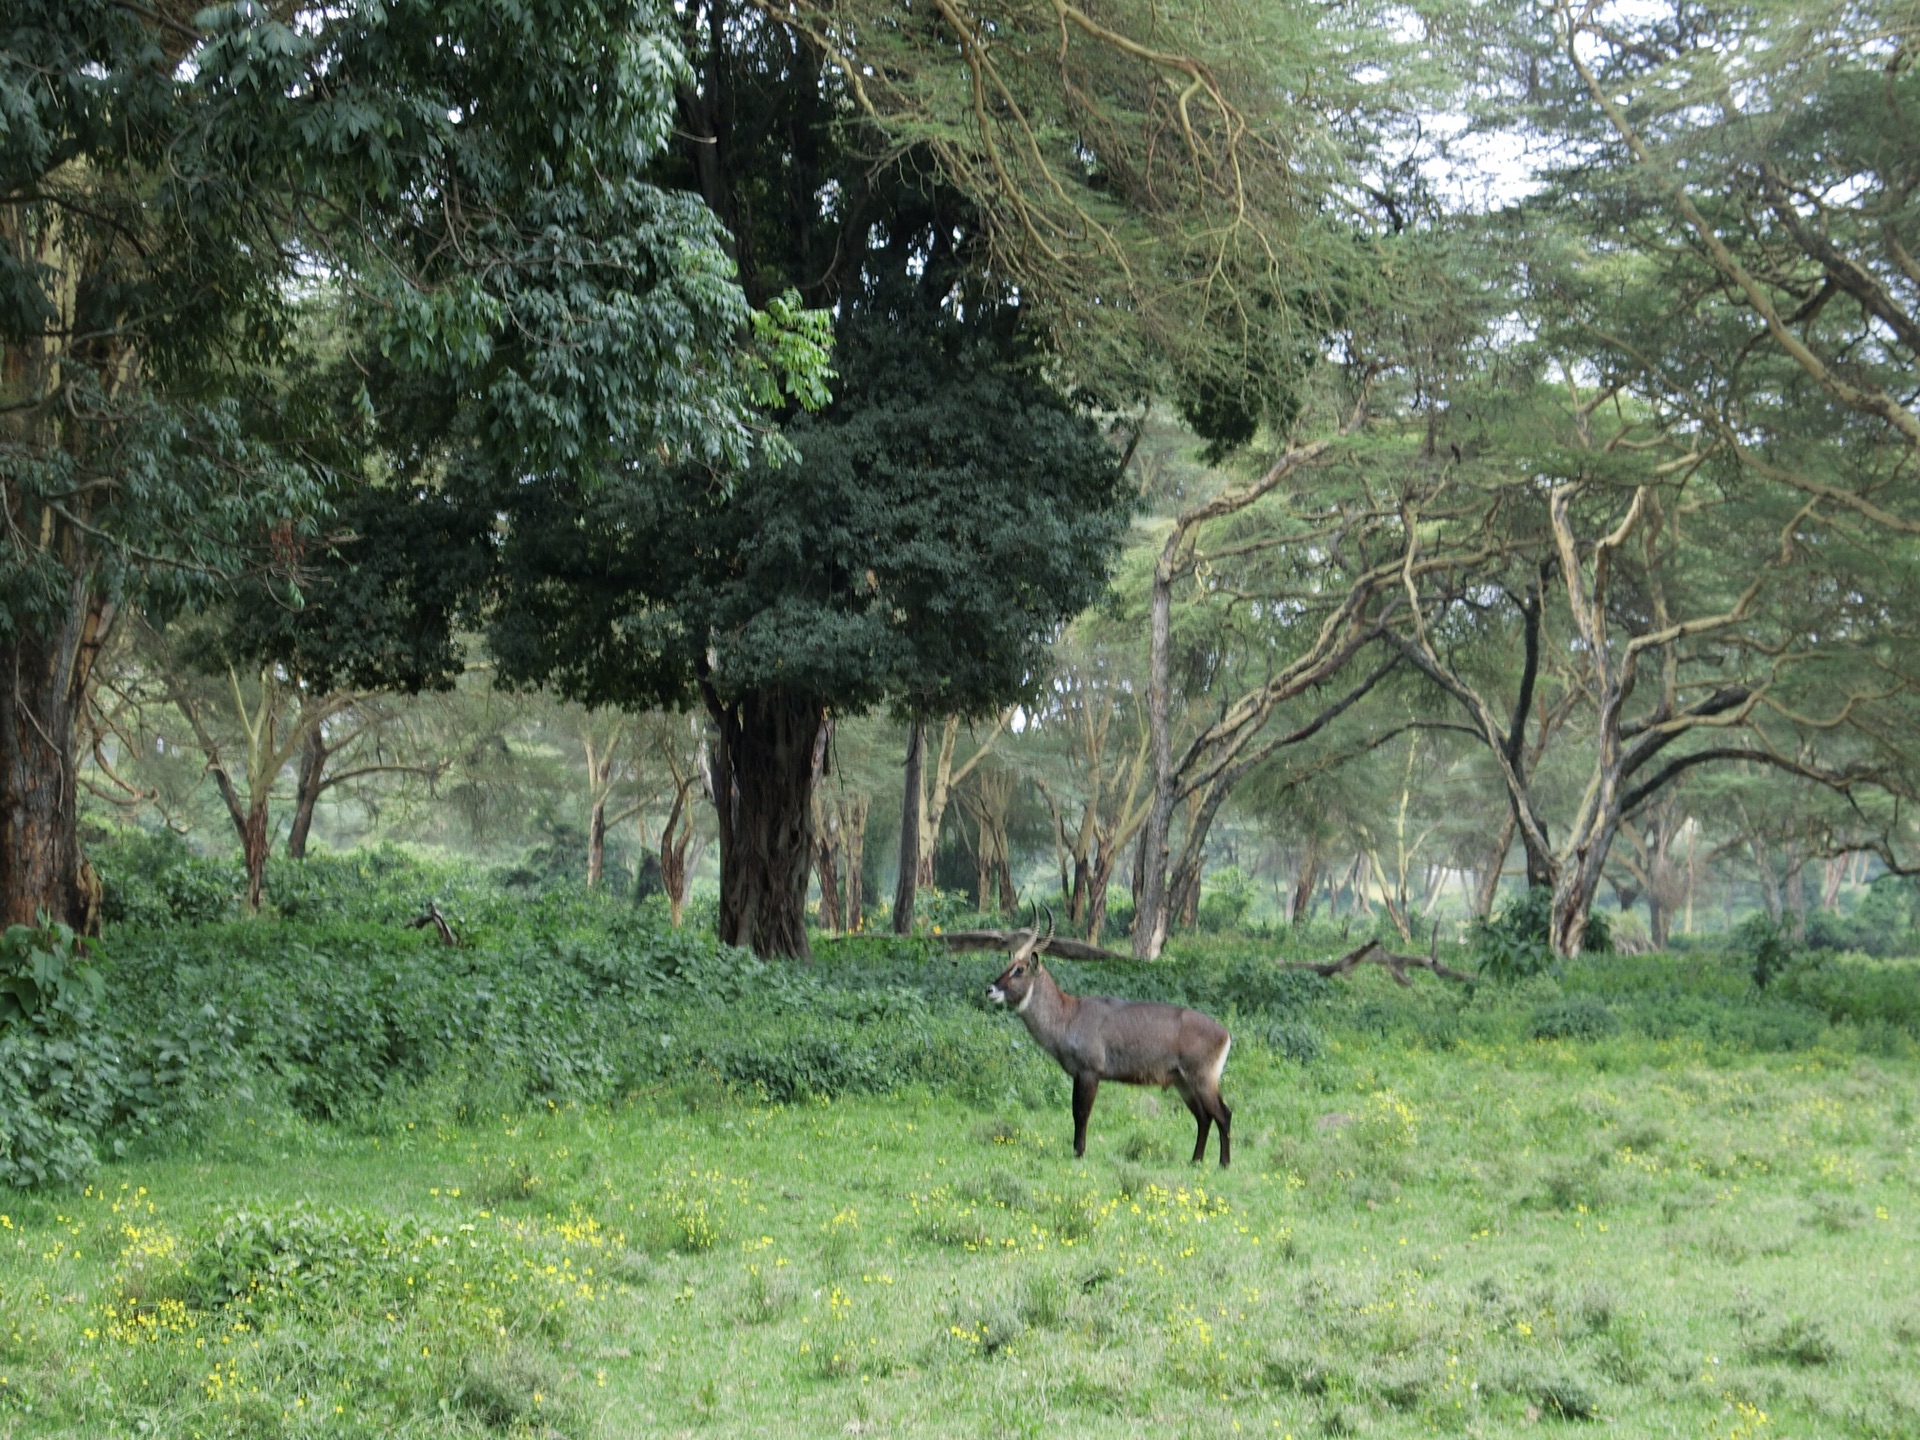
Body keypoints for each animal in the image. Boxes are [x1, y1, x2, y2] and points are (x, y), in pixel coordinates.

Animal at [983, 917, 1236, 1167]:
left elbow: (1082, 1113)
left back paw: (1223, 1163)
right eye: (1007, 966)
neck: (1068, 1015)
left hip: (1202, 1079)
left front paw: (1079, 1153)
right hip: (1183, 1082)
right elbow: (1075, 1111)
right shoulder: (1078, 1075)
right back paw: (1195, 1160)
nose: (990, 990)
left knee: (1223, 1114)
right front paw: (1076, 1151)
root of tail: (1225, 1033)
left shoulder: (1090, 1073)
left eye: (1019, 969)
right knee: (1204, 1117)